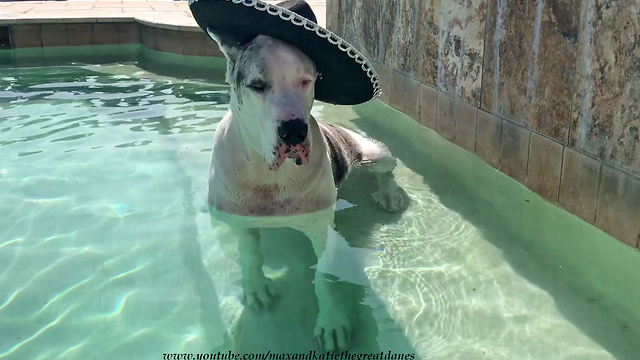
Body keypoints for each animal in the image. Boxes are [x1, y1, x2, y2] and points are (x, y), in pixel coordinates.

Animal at [206, 31, 404, 352]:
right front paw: (256, 286)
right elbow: (249, 251)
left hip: (372, 153)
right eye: (257, 86)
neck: (270, 175)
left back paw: (389, 194)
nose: (294, 131)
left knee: (387, 169)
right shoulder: (239, 218)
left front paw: (333, 320)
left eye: (306, 80)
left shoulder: (320, 228)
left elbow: (324, 275)